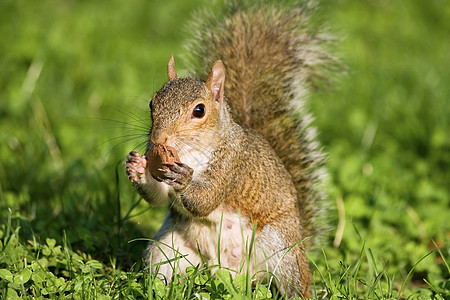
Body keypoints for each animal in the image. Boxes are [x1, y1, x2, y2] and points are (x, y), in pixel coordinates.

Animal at [124, 0, 334, 298]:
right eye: (152, 103)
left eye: (199, 111)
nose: (158, 138)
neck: (192, 151)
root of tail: (230, 273)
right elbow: (158, 196)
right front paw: (137, 166)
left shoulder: (233, 164)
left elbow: (206, 199)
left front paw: (184, 179)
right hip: (168, 249)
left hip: (280, 248)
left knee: (293, 281)